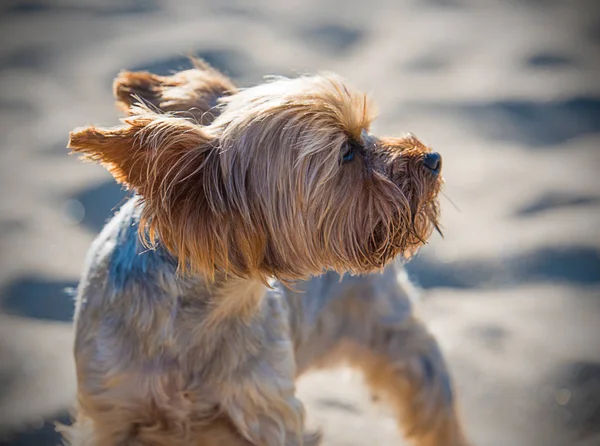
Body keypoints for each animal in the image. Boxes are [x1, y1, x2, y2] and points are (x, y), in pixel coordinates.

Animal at [64, 60, 468, 446]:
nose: (433, 158)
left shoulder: (265, 413)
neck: (203, 312)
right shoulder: (109, 411)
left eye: (366, 132)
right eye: (347, 152)